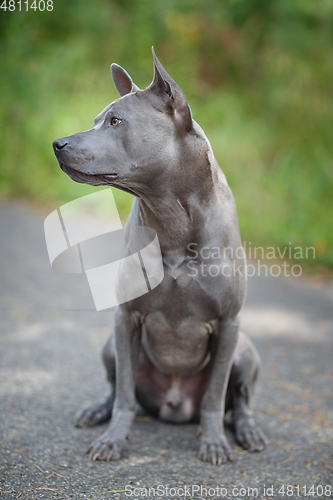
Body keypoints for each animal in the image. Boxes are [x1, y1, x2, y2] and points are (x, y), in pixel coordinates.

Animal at [53, 47, 266, 464]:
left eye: (116, 121)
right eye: (97, 120)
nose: (58, 144)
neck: (171, 218)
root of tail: (175, 404)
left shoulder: (228, 324)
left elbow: (215, 396)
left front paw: (213, 442)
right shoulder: (125, 318)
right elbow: (124, 395)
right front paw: (113, 440)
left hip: (245, 350)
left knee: (240, 400)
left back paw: (247, 429)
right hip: (110, 346)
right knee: (118, 387)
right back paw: (96, 411)